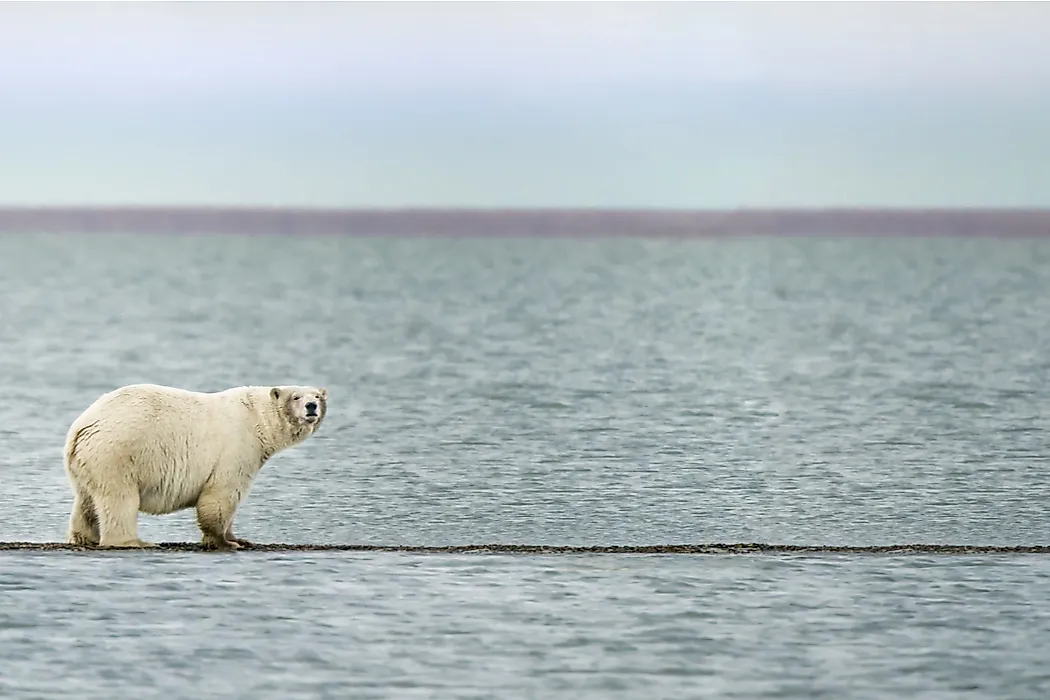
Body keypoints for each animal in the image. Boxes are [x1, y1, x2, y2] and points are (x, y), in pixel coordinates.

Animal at [63, 386, 325, 549]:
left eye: (318, 396)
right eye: (296, 397)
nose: (312, 406)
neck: (257, 417)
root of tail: (83, 426)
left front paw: (240, 538)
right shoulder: (237, 447)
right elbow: (222, 495)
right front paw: (225, 542)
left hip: (87, 462)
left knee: (86, 500)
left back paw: (84, 537)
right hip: (117, 453)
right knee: (120, 499)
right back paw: (134, 541)